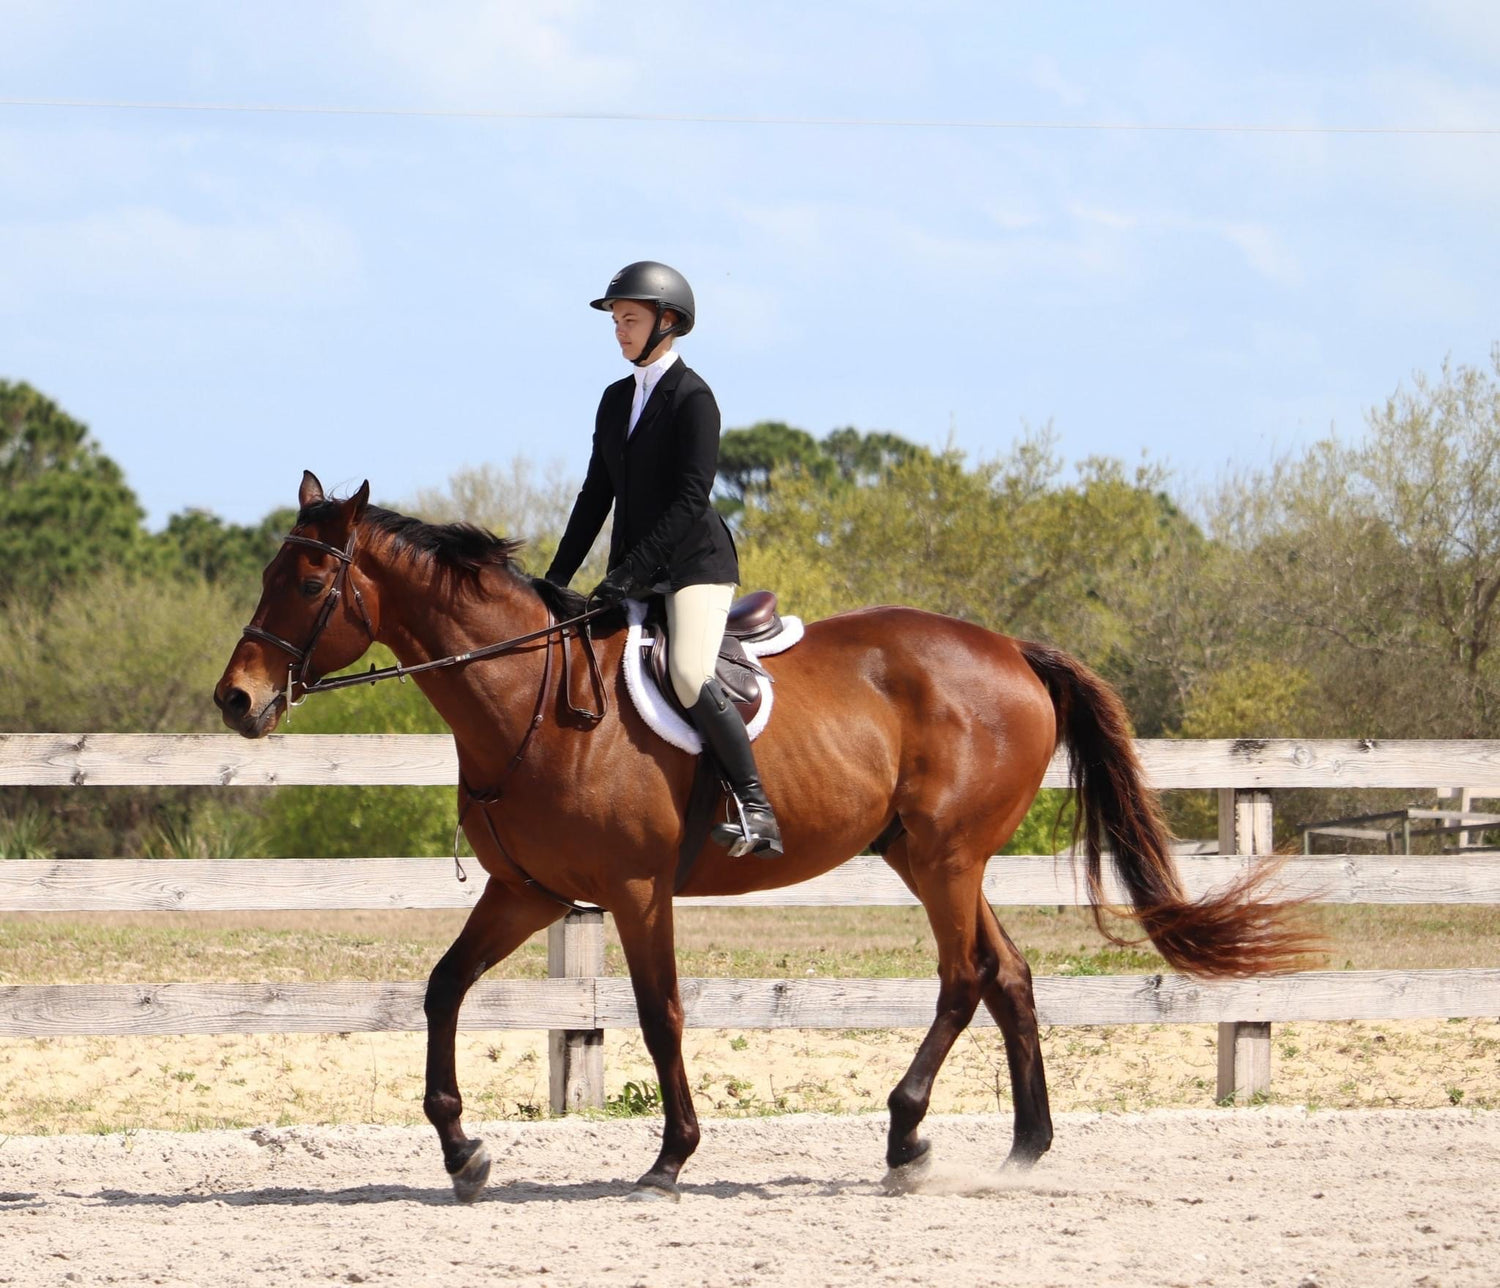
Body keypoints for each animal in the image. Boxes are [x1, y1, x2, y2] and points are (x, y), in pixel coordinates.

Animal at [214, 472, 1307, 1203]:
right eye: (267, 570)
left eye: (308, 583)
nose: (237, 700)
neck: (527, 697)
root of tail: (1010, 650)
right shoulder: (527, 890)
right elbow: (444, 988)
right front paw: (461, 1151)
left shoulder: (635, 890)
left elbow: (660, 1014)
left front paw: (670, 1157)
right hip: (930, 857)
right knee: (1009, 974)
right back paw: (1022, 1147)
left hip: (946, 858)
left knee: (964, 977)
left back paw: (905, 1137)